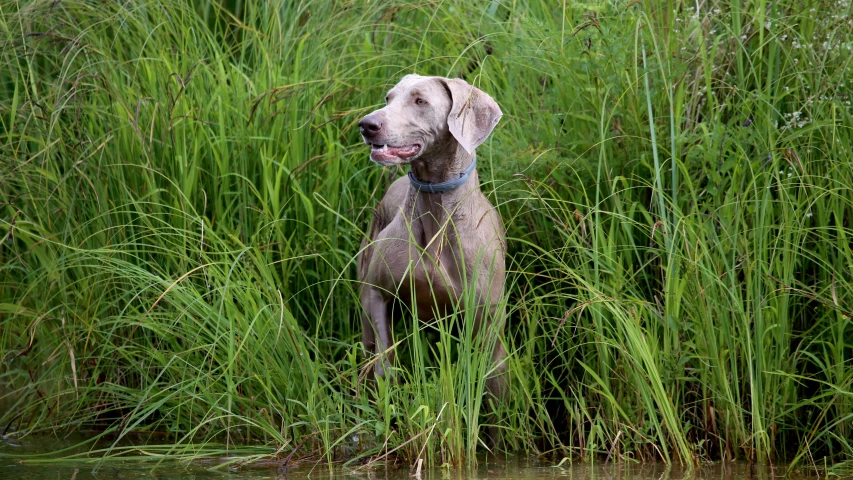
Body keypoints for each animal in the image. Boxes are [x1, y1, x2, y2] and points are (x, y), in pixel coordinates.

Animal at [354, 76, 502, 424]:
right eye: (388, 98)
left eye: (420, 101)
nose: (366, 125)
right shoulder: (376, 292)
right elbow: (384, 364)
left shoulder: (486, 317)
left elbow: (485, 384)